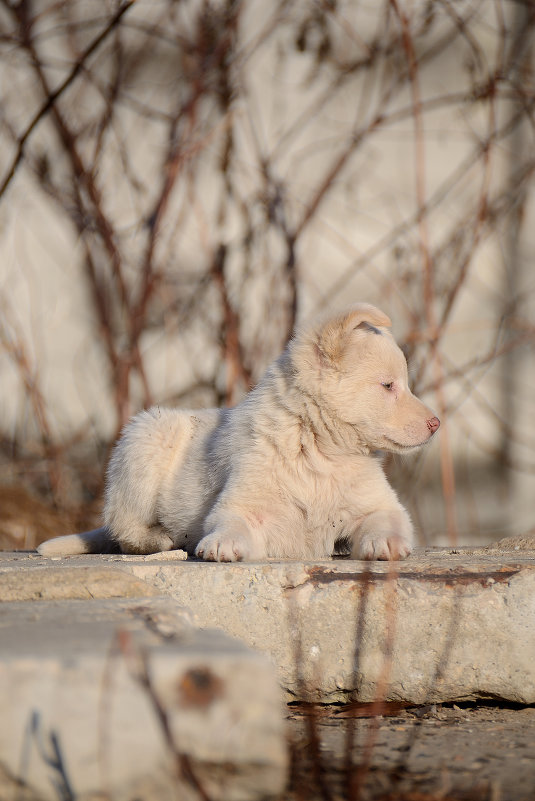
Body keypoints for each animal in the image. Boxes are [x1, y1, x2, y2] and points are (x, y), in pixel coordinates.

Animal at [37, 304, 440, 560]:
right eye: (389, 385)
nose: (436, 424)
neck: (319, 450)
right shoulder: (243, 503)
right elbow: (232, 523)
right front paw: (222, 544)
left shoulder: (378, 504)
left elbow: (386, 520)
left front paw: (385, 544)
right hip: (145, 441)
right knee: (124, 529)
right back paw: (161, 538)